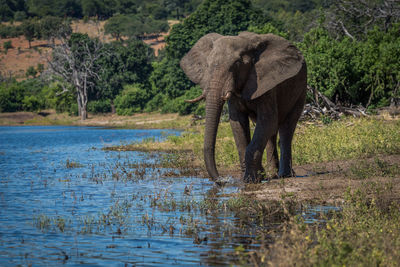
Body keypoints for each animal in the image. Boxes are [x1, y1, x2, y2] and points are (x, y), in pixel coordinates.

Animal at [180, 30, 308, 183]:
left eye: (237, 64)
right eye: (207, 65)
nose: (222, 180)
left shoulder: (266, 83)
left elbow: (267, 121)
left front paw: (251, 179)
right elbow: (238, 123)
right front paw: (250, 178)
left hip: (301, 88)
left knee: (286, 128)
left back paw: (285, 175)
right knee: (271, 132)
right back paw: (272, 174)